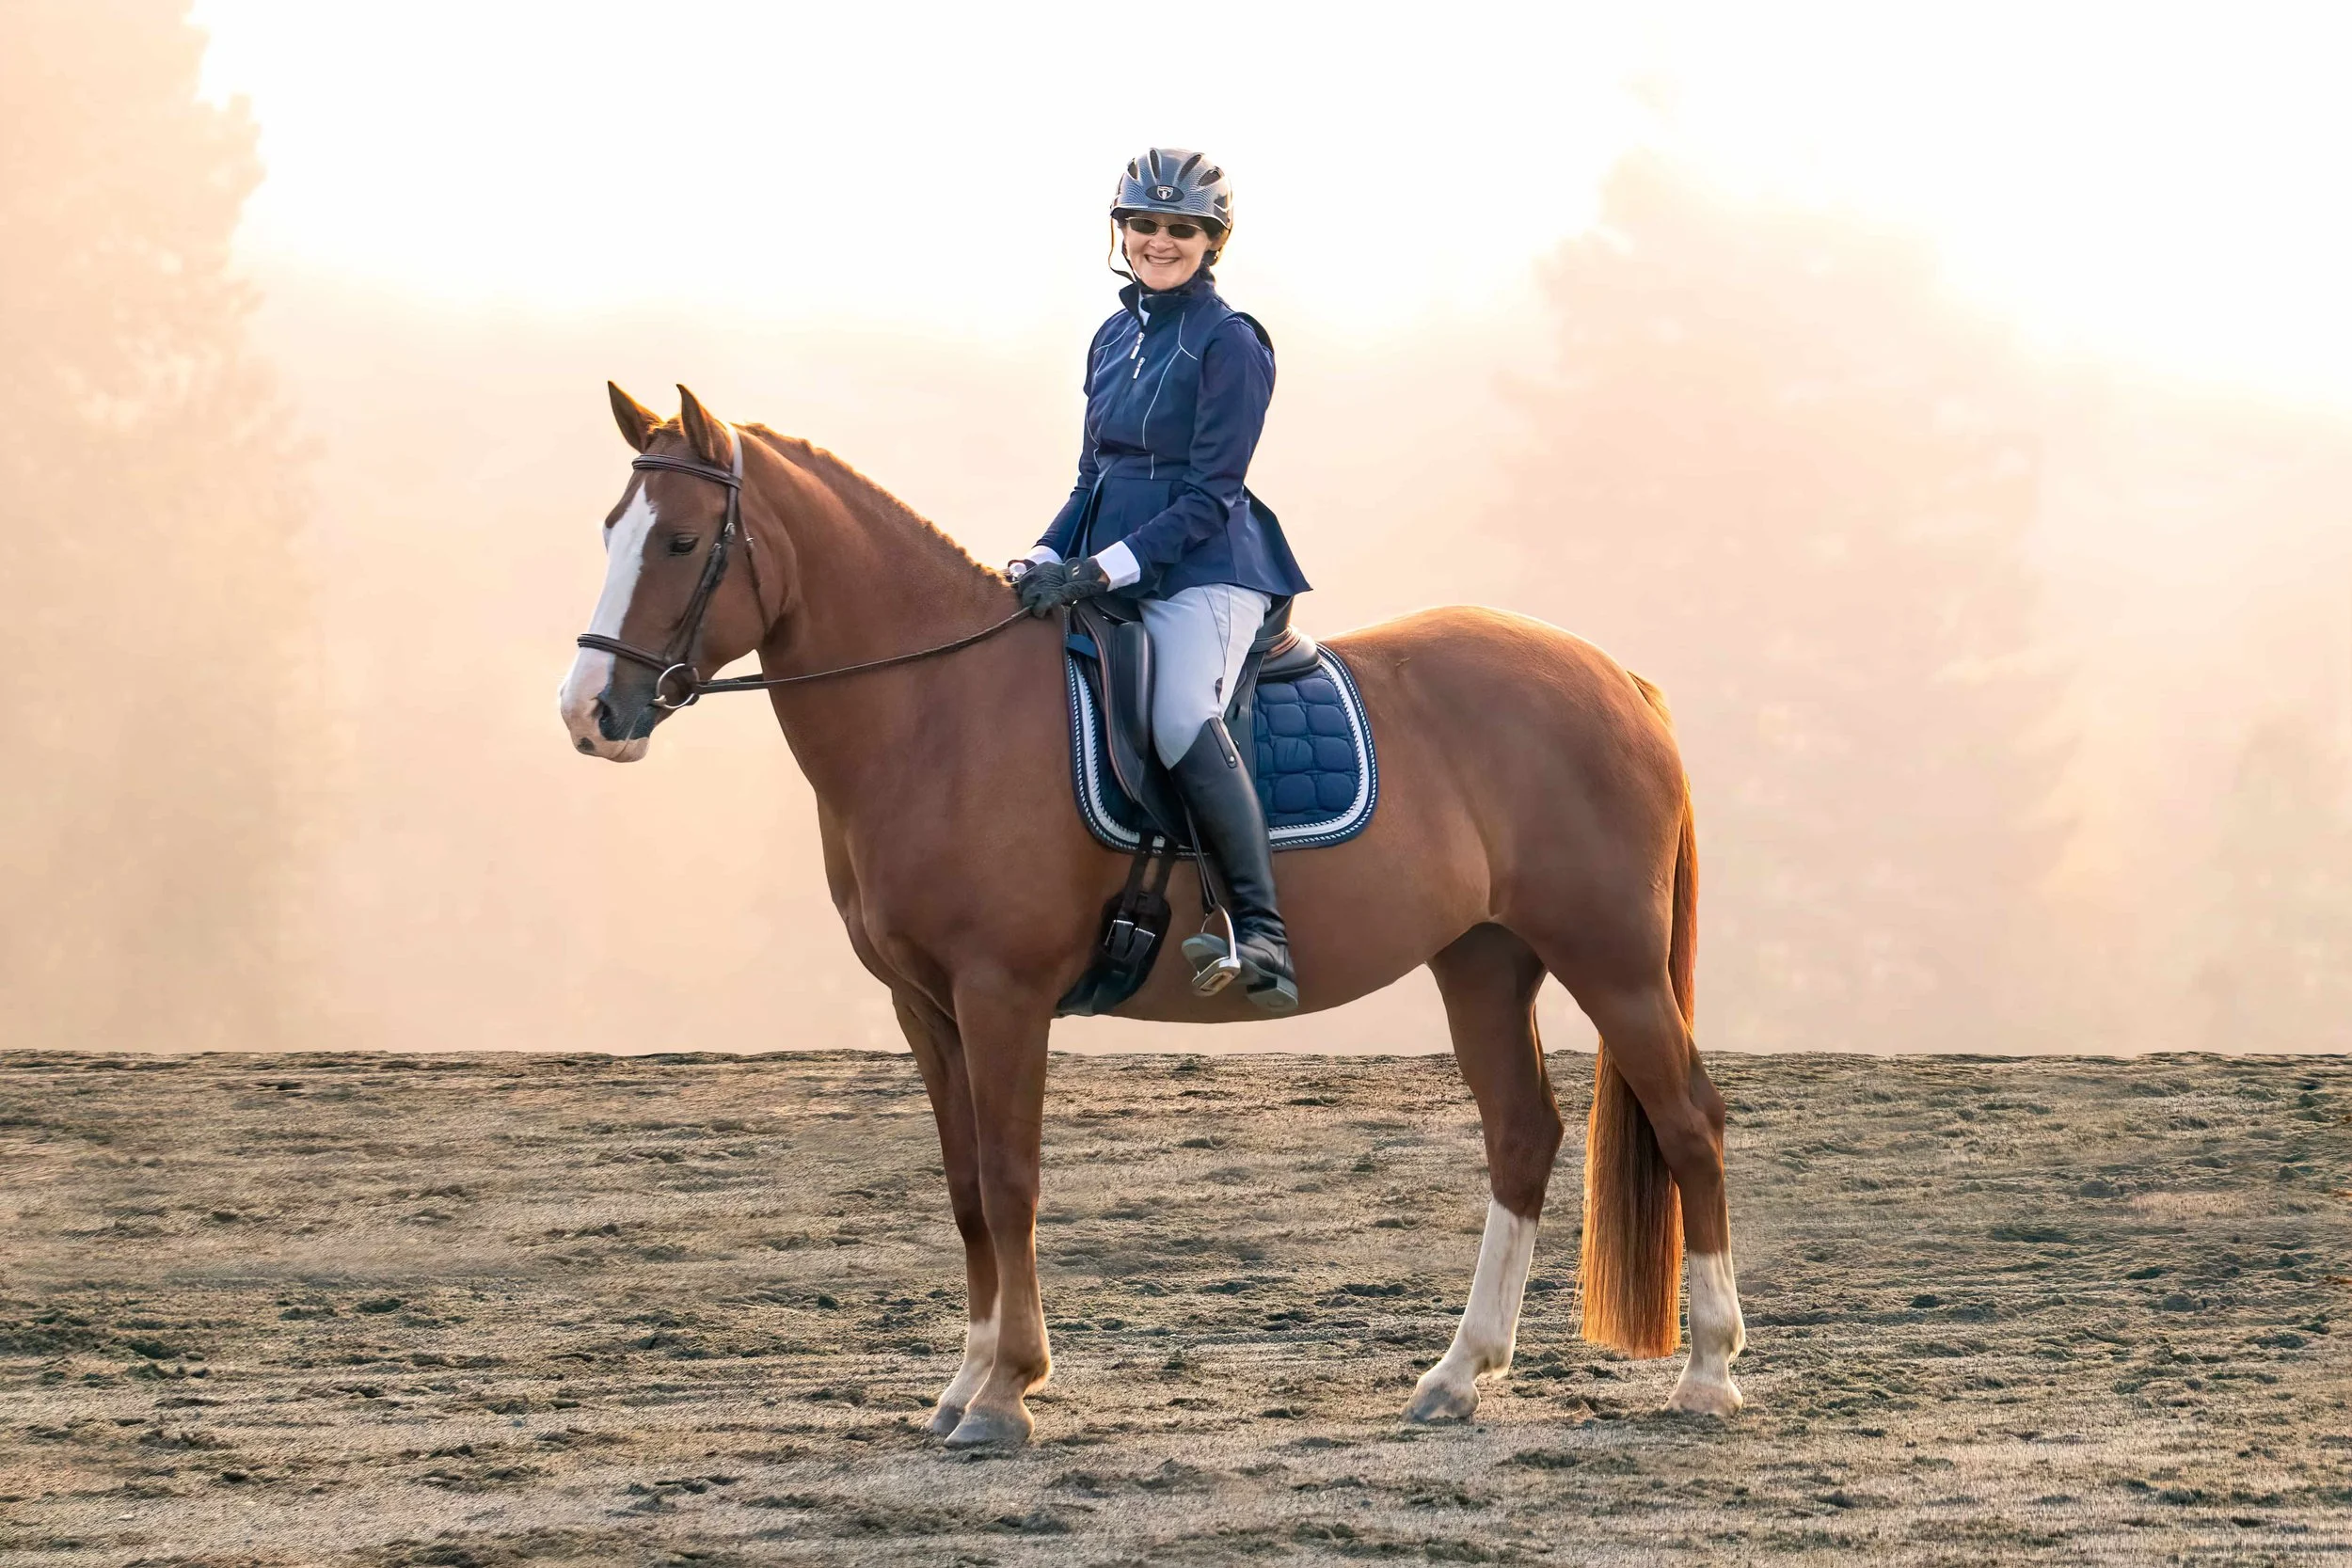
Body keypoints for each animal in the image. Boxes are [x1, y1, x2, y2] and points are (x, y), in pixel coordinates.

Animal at [557, 384, 1747, 1447]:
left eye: (680, 542)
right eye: (612, 529)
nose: (588, 715)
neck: (938, 713)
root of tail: (1613, 677)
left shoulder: (1001, 996)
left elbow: (1011, 1180)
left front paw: (1005, 1392)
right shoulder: (925, 1008)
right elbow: (965, 1188)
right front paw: (963, 1382)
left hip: (1611, 957)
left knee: (1689, 1121)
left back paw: (1706, 1373)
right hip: (1483, 958)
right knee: (1521, 1132)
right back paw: (1457, 1374)